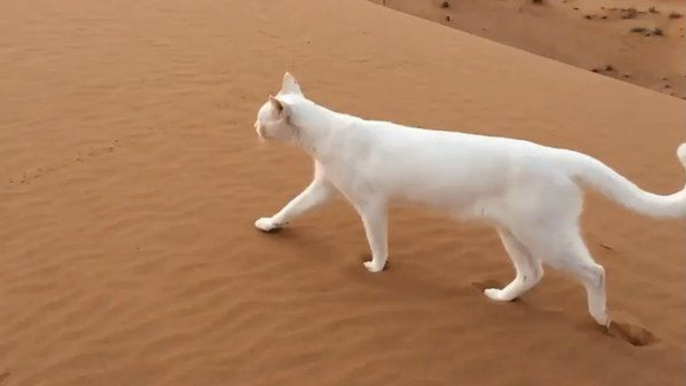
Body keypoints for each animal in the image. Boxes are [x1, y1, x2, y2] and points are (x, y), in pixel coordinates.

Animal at [254, 71, 686, 326]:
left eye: (262, 119)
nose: (253, 127)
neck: (326, 133)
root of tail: (561, 156)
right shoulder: (324, 187)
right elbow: (291, 207)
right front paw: (269, 224)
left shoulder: (371, 205)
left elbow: (378, 242)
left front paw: (375, 268)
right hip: (515, 233)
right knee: (533, 273)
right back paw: (500, 297)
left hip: (547, 234)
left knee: (595, 271)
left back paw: (601, 317)